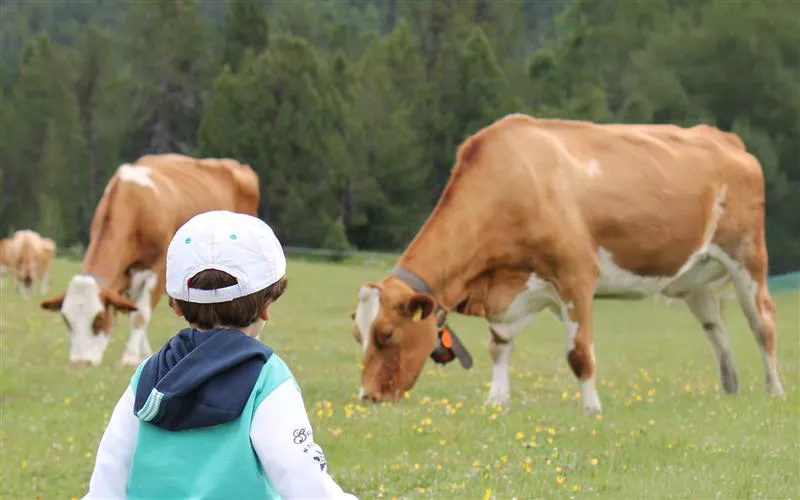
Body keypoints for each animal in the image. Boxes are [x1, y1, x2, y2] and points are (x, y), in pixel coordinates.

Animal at [40, 155, 260, 368]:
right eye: (66, 319)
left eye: (99, 319)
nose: (80, 362)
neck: (134, 205)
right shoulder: (126, 274)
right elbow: (134, 309)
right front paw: (144, 354)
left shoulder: (159, 268)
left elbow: (140, 314)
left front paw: (130, 357)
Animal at [352, 114, 788, 414]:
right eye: (358, 335)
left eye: (387, 334)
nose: (367, 397)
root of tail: (722, 137)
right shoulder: (512, 292)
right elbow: (499, 346)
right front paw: (497, 400)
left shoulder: (576, 276)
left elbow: (579, 352)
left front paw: (591, 408)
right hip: (693, 278)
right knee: (716, 328)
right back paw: (730, 388)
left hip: (748, 258)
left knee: (762, 322)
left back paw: (775, 390)